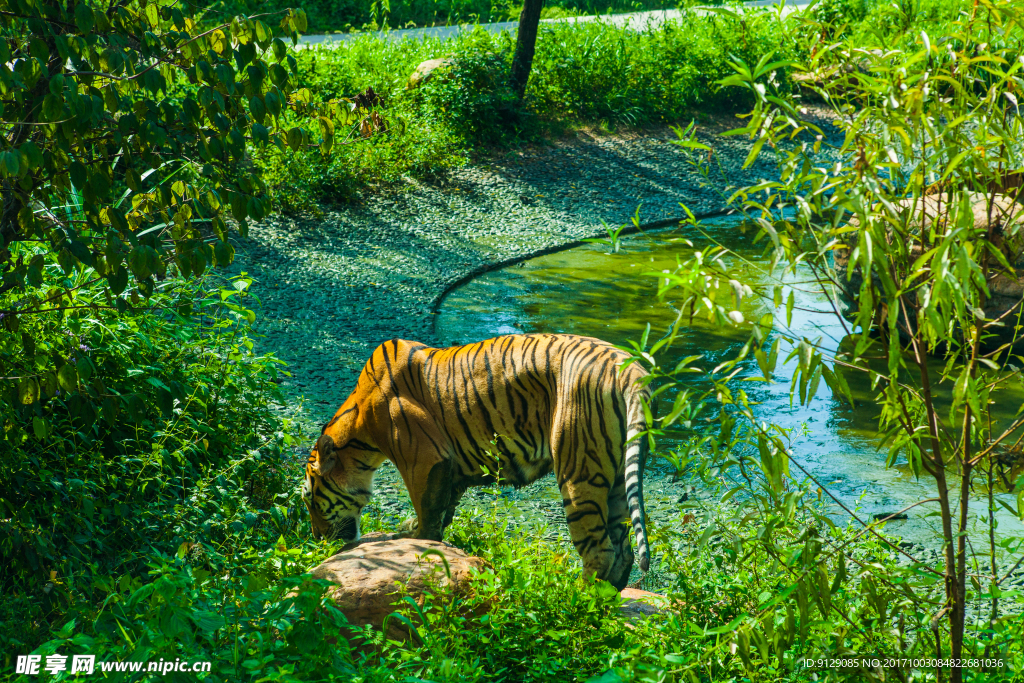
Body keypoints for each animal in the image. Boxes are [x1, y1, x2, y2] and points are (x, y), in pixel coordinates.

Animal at [299, 333, 651, 589]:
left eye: (310, 500)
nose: (317, 538)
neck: (359, 425)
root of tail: (632, 369)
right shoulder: (451, 468)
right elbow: (443, 508)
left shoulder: (425, 459)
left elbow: (427, 507)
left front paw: (413, 537)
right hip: (616, 477)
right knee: (623, 549)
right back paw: (607, 599)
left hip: (579, 469)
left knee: (601, 550)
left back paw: (577, 598)